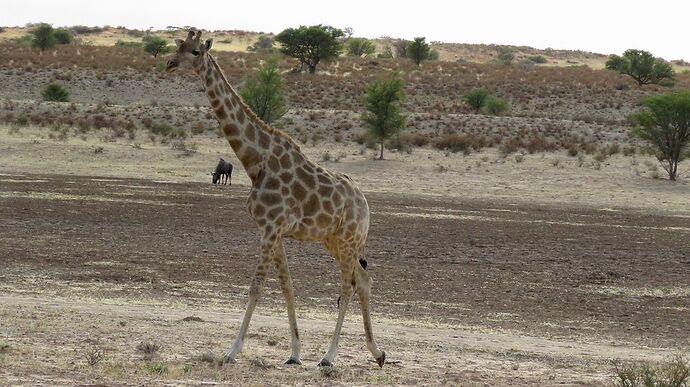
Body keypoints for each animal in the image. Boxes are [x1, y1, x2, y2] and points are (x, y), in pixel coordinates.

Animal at [164, 31, 384, 368]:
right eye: (177, 46)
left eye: (196, 51)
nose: (170, 63)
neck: (256, 161)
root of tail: (366, 205)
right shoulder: (274, 231)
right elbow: (287, 286)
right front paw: (294, 352)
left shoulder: (269, 229)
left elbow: (255, 287)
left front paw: (231, 350)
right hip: (333, 240)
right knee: (363, 281)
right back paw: (378, 353)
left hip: (348, 240)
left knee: (347, 286)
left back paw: (329, 356)